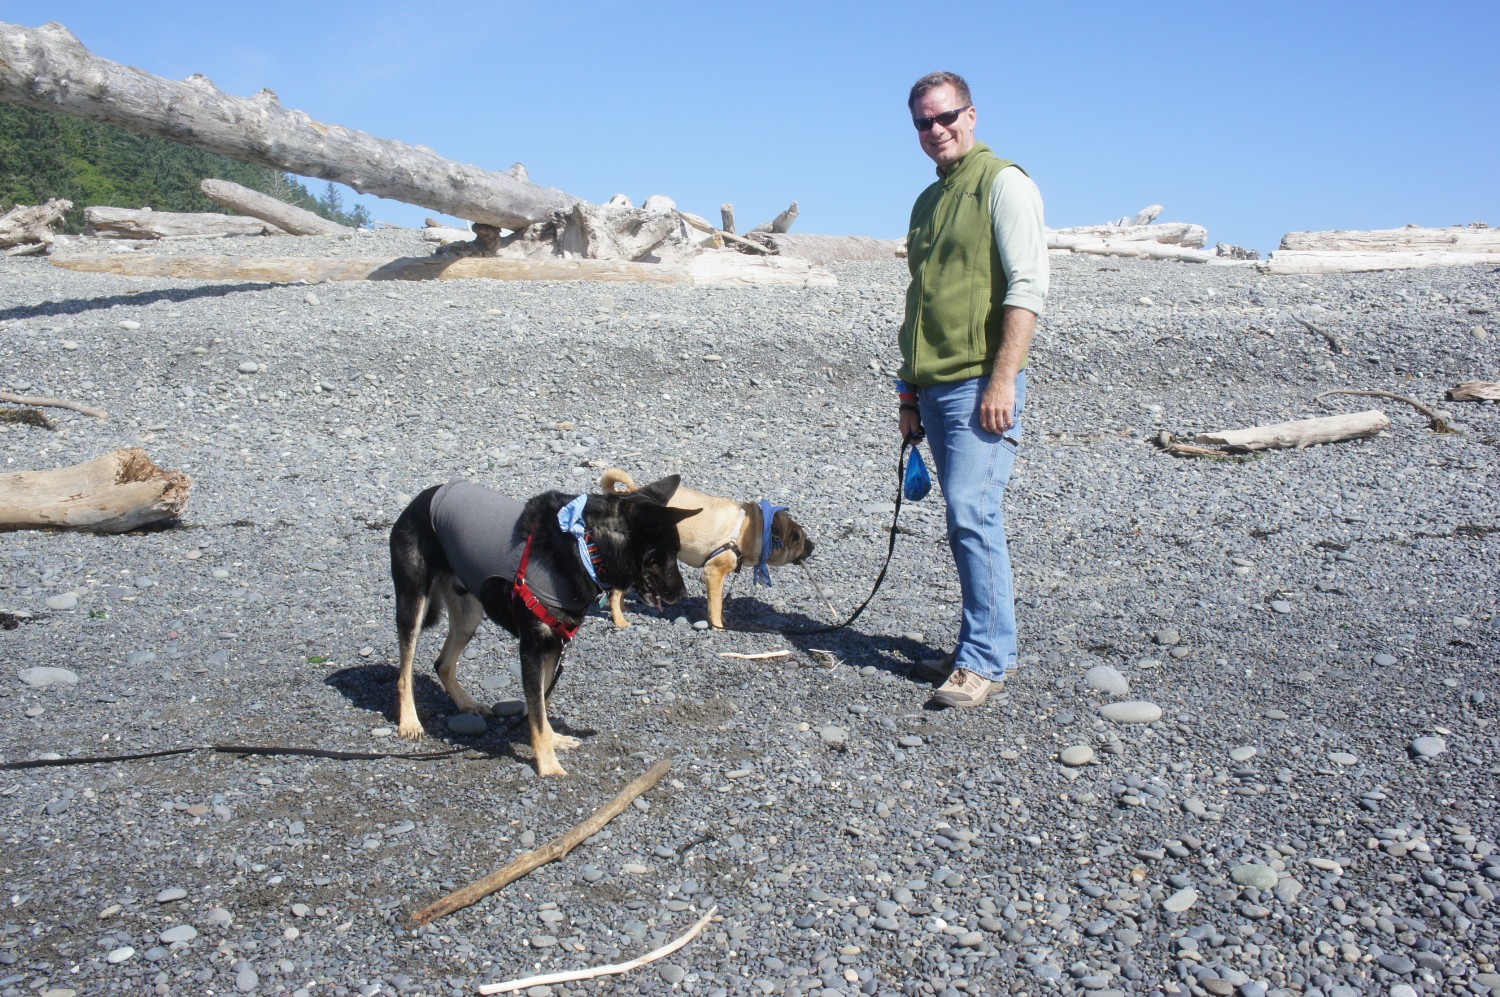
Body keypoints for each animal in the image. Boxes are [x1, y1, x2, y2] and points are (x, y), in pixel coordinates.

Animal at [384, 476, 693, 779]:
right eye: (668, 554)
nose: (683, 595)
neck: (585, 547)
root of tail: (425, 497)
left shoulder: (555, 644)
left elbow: (542, 705)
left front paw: (554, 740)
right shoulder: (531, 647)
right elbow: (537, 710)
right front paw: (548, 765)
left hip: (469, 613)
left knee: (442, 664)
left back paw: (466, 703)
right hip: (413, 602)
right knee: (404, 672)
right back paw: (409, 722)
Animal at [597, 467, 816, 626]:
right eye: (801, 540)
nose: (813, 546)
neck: (760, 529)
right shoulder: (713, 573)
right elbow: (716, 605)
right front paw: (718, 625)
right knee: (614, 594)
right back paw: (620, 620)